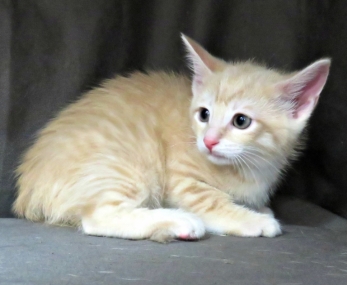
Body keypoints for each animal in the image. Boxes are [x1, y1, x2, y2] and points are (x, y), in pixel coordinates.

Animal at [12, 34, 330, 241]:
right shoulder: (182, 180)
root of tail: (29, 189)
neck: (251, 167)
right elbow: (212, 203)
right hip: (124, 168)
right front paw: (254, 219)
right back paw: (179, 221)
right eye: (204, 114)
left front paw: (257, 206)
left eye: (241, 121)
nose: (208, 141)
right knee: (96, 217)